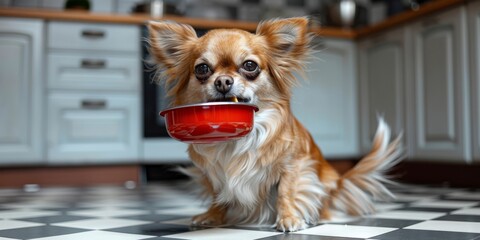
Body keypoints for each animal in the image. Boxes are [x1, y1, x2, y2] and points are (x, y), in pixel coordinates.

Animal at [148, 17, 404, 232]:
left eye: (249, 65)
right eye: (202, 69)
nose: (223, 81)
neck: (237, 140)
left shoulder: (294, 165)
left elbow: (285, 192)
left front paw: (289, 218)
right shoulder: (212, 174)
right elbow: (217, 195)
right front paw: (213, 215)